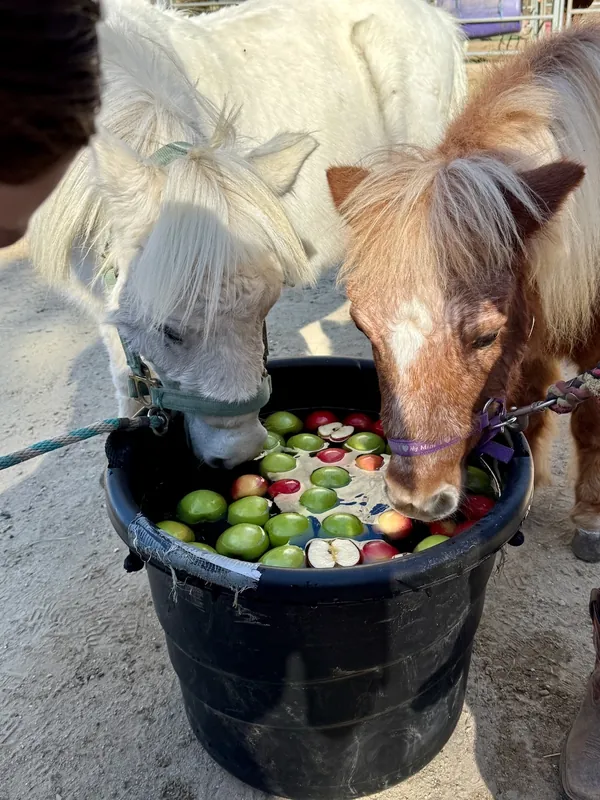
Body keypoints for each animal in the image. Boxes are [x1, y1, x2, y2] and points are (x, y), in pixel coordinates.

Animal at [327, 22, 600, 556]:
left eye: (485, 336)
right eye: (362, 328)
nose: (416, 499)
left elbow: (591, 421)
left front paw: (591, 517)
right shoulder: (531, 333)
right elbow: (529, 405)